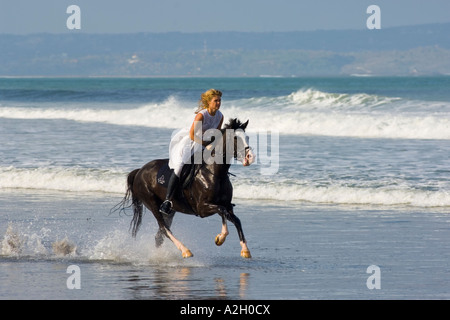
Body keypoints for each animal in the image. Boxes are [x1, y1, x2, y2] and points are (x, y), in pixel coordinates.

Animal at [116, 119, 255, 258]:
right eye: (235, 138)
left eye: (247, 137)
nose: (250, 157)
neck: (215, 172)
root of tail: (139, 171)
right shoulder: (202, 208)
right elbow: (222, 211)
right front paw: (221, 237)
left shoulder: (227, 204)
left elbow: (235, 219)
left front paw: (244, 249)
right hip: (153, 204)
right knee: (164, 229)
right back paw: (185, 250)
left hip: (170, 211)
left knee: (159, 235)